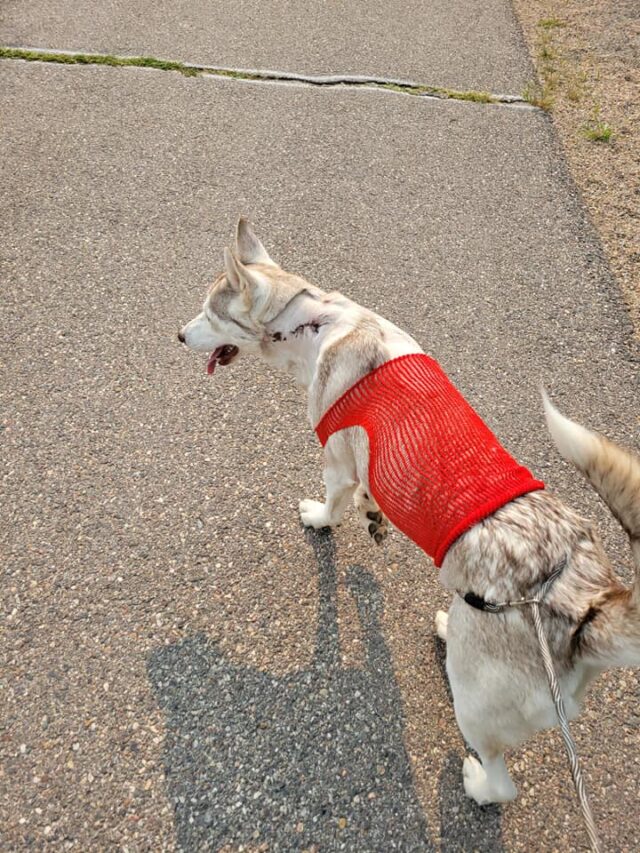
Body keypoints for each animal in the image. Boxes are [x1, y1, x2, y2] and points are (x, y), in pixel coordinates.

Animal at [179, 218, 640, 800]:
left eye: (209, 313)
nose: (178, 335)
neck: (311, 321)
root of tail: (584, 604)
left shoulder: (336, 461)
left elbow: (332, 502)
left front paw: (321, 518)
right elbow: (367, 497)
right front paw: (372, 514)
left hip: (474, 699)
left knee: (500, 778)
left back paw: (477, 783)